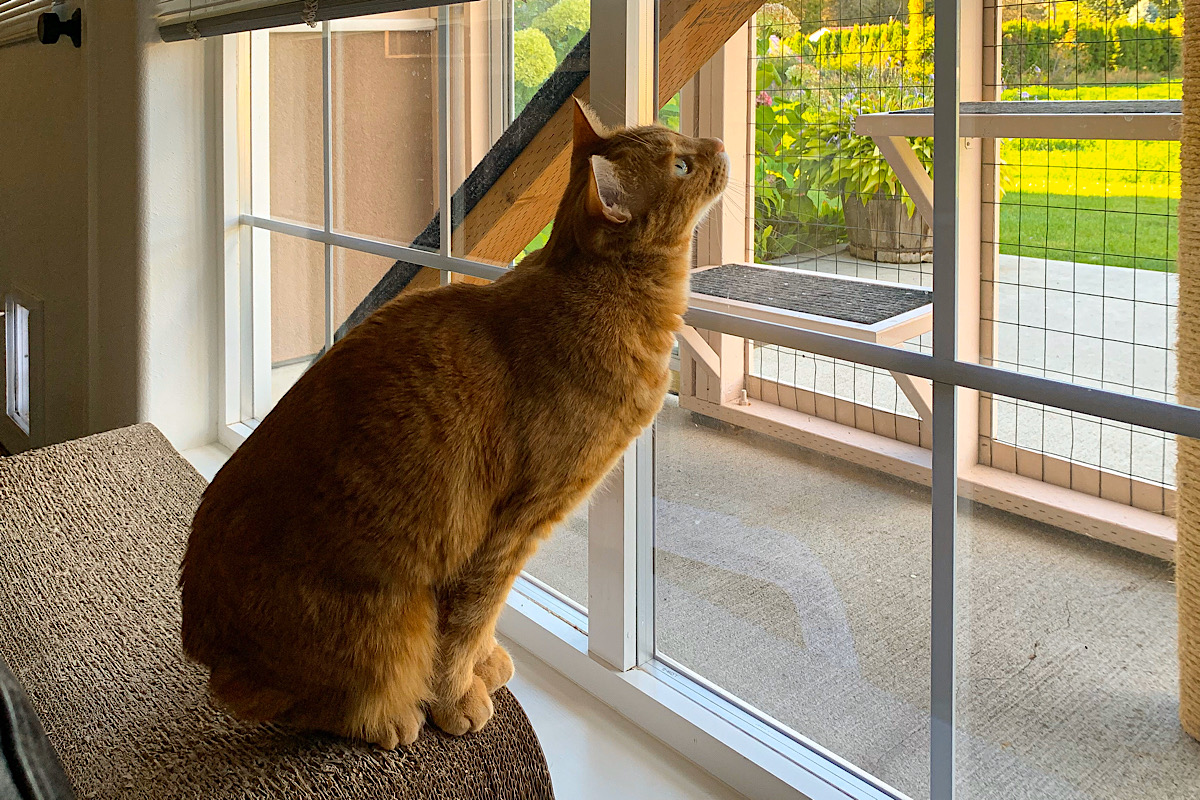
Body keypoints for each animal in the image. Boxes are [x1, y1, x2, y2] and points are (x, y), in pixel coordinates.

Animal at [176, 101, 720, 753]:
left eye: (686, 143)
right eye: (682, 164)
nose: (719, 146)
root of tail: (206, 647)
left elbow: (481, 626)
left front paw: (485, 666)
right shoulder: (508, 533)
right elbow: (466, 626)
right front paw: (457, 698)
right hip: (393, 615)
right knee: (308, 700)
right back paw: (389, 720)